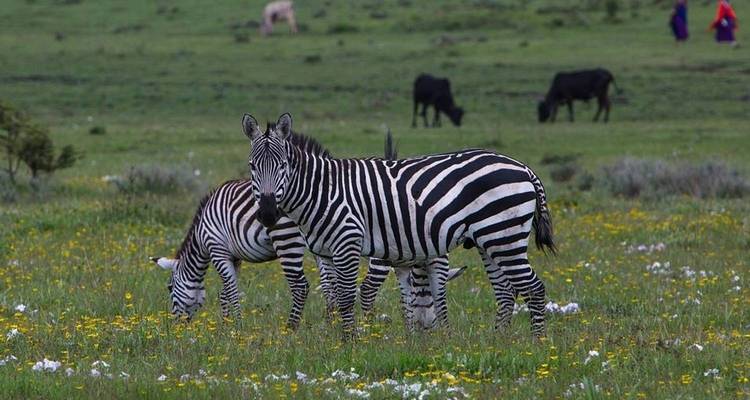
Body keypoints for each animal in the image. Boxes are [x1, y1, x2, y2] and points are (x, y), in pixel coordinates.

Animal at [151, 131, 465, 329]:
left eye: (169, 288)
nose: (176, 327)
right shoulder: (234, 256)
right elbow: (227, 292)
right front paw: (228, 321)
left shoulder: (218, 248)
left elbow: (227, 289)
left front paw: (231, 327)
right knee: (332, 286)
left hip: (290, 240)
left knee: (312, 286)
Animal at [243, 113, 556, 338]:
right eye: (252, 166)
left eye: (282, 166)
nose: (268, 214)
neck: (323, 190)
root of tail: (524, 167)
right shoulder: (327, 253)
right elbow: (332, 296)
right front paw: (336, 339)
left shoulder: (347, 242)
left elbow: (346, 297)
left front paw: (350, 343)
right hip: (489, 240)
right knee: (505, 291)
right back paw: (497, 341)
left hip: (504, 235)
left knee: (533, 288)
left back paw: (536, 343)